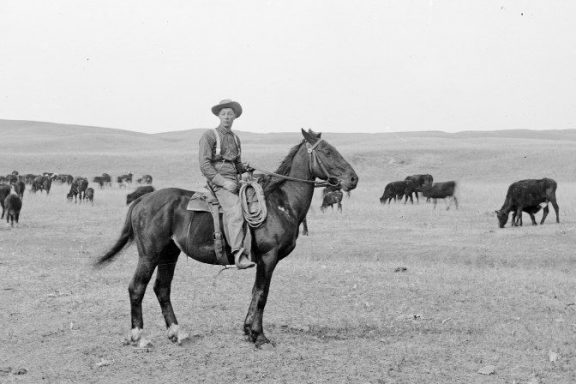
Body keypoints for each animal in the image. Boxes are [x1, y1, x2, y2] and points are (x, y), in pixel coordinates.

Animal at [94, 129, 358, 348]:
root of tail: (142, 200)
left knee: (162, 288)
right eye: (327, 151)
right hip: (149, 254)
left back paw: (176, 333)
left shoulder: (262, 261)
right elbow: (262, 294)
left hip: (169, 253)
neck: (280, 203)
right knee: (137, 287)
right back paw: (139, 336)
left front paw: (248, 331)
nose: (353, 179)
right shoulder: (268, 257)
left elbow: (255, 292)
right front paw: (260, 337)